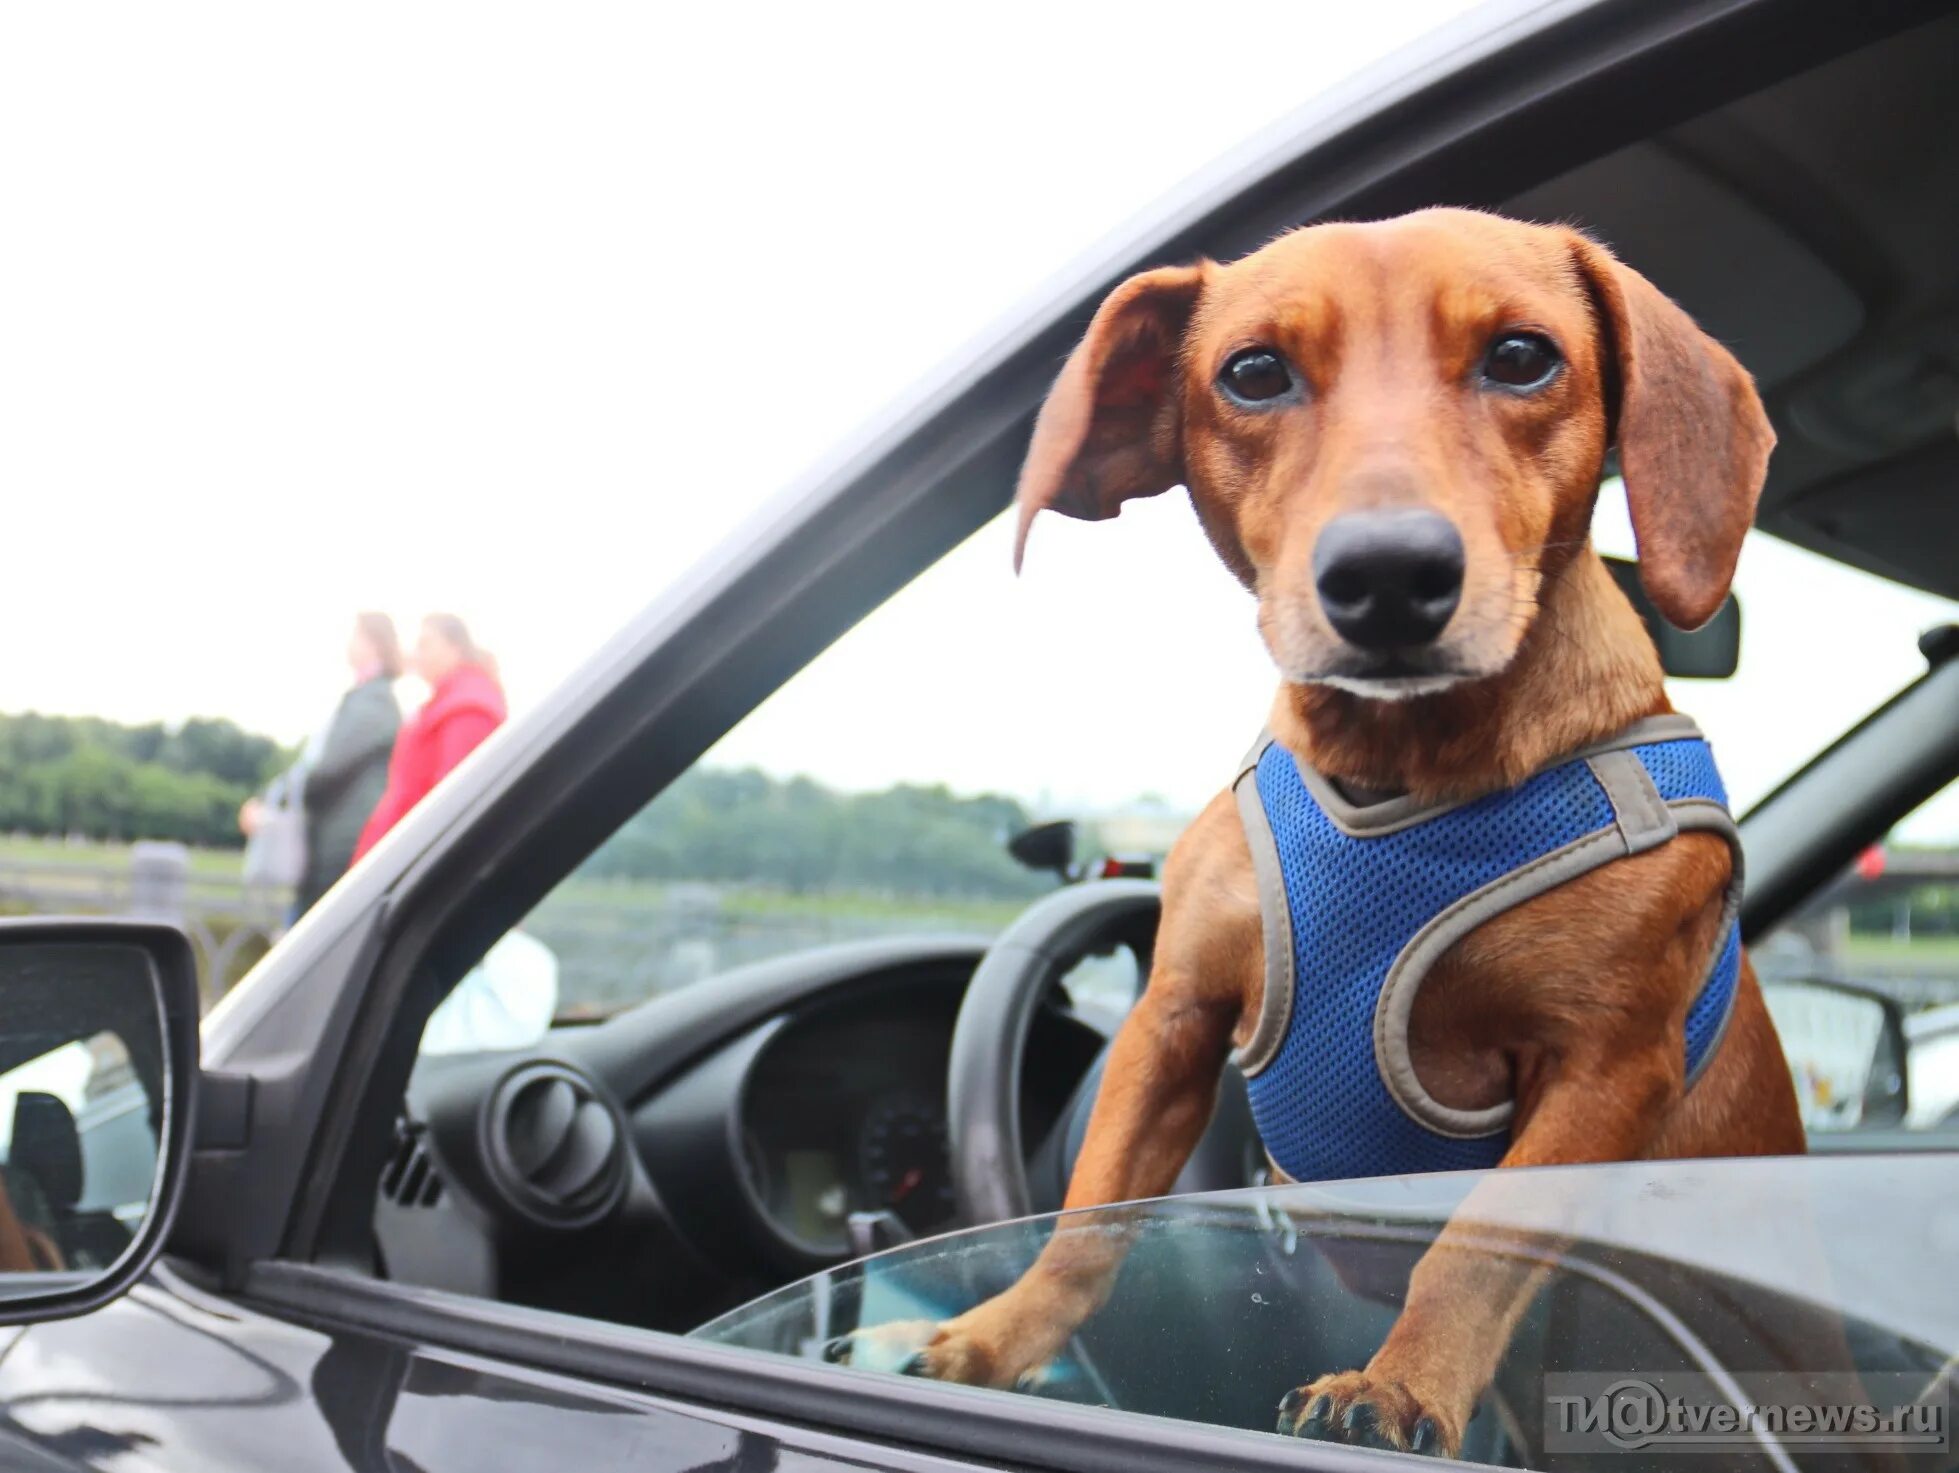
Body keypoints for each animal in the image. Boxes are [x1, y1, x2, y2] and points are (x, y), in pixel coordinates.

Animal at [834, 207, 1794, 1449]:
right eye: (1253, 373)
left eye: (1522, 356)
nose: (1388, 574)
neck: (1395, 774)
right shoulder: (1173, 1017)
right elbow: (1090, 1219)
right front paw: (991, 1338)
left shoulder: (1608, 1073)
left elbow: (1470, 1250)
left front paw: (1400, 1384)